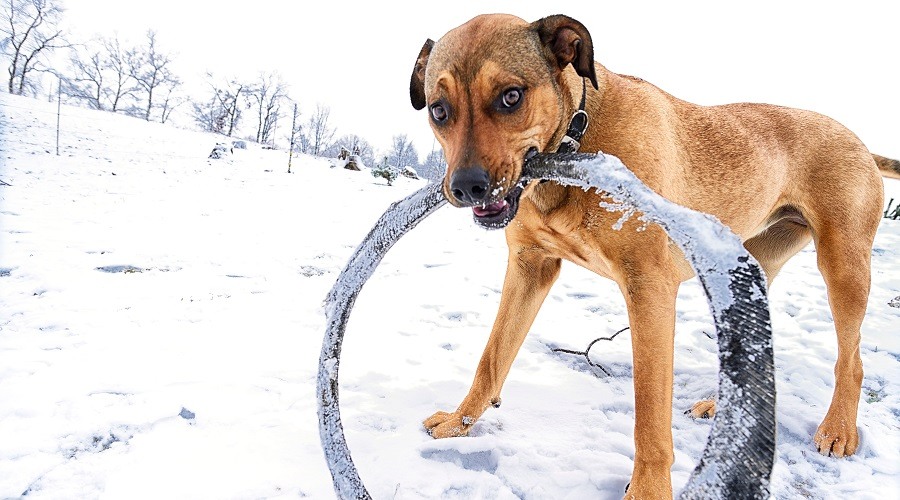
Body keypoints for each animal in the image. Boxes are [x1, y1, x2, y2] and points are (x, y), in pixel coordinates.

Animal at [412, 13, 888, 498]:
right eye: (438, 110)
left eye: (511, 96)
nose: (466, 187)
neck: (578, 135)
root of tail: (858, 140)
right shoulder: (530, 267)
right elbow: (491, 357)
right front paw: (460, 422)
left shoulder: (649, 289)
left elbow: (650, 415)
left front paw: (648, 489)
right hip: (748, 271)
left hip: (843, 265)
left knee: (852, 360)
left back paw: (838, 429)